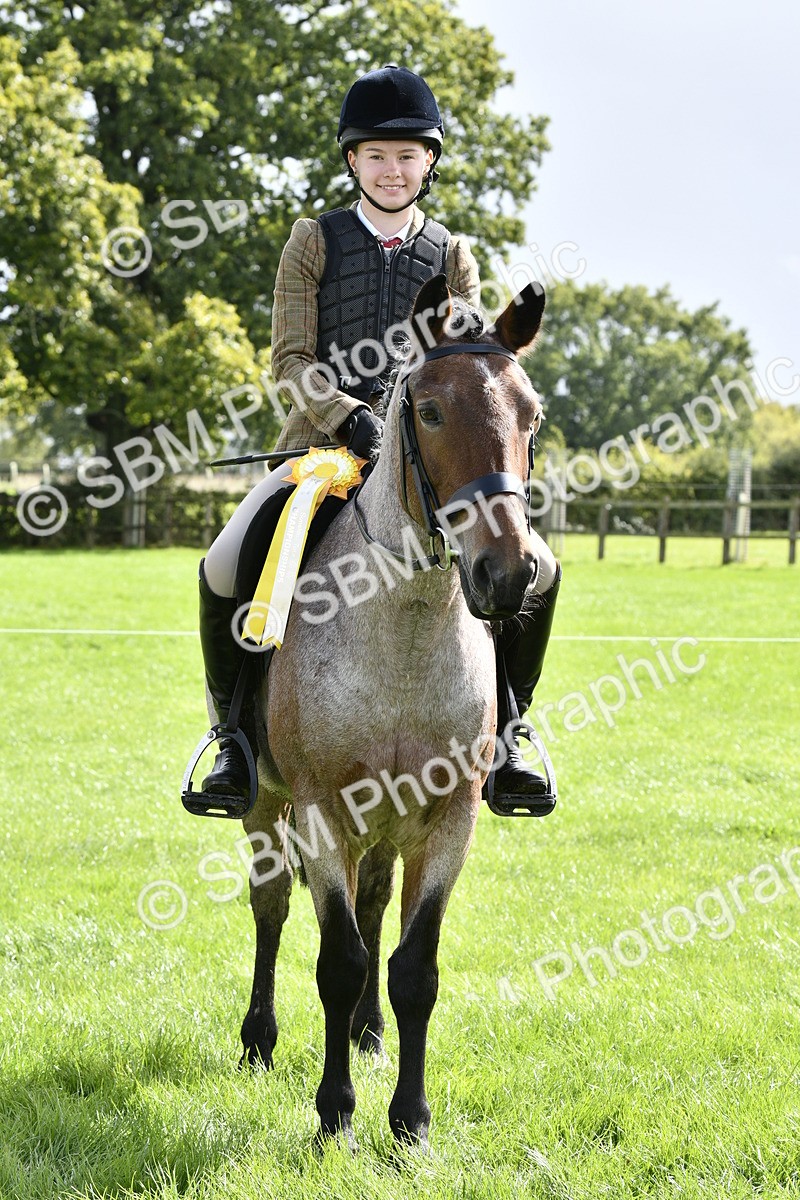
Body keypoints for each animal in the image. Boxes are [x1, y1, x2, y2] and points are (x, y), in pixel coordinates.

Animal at [238, 274, 547, 1149]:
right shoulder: (320, 811)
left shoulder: (448, 821)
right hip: (269, 806)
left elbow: (413, 967)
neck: (404, 627)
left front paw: (409, 1121)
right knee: (273, 907)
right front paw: (335, 1115)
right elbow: (337, 961)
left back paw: (370, 1036)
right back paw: (258, 1039)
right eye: (430, 410)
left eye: (532, 415)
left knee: (374, 908)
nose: (509, 575)